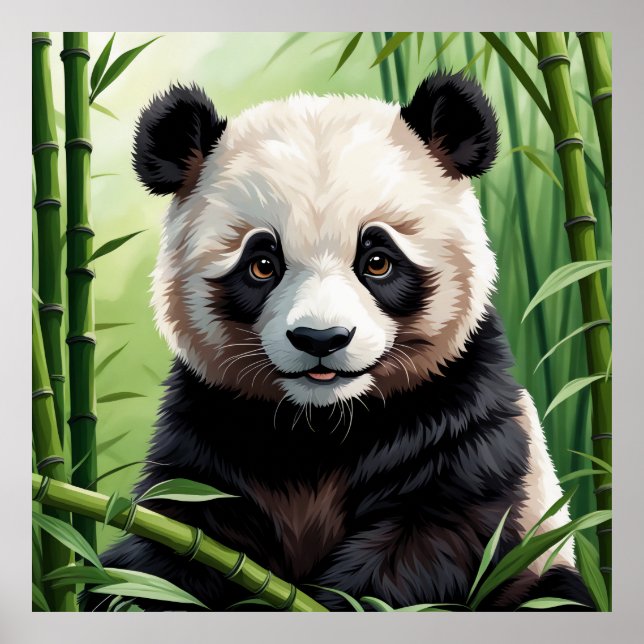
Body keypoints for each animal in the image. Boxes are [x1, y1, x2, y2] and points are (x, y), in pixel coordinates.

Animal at [92, 71, 593, 611]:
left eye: (378, 260)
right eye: (262, 264)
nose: (321, 338)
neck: (322, 426)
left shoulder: (461, 420)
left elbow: (435, 537)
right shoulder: (211, 430)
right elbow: (174, 537)